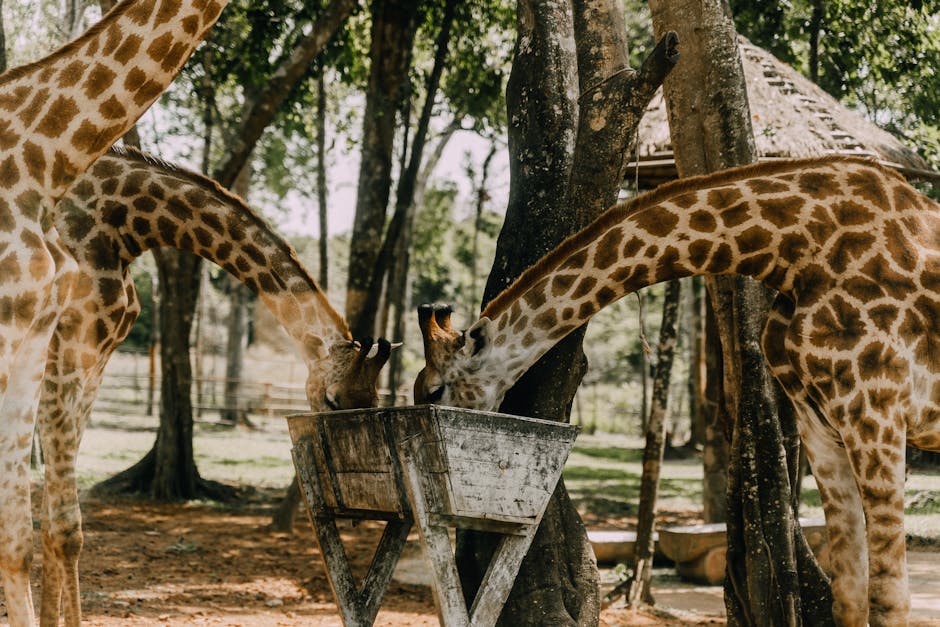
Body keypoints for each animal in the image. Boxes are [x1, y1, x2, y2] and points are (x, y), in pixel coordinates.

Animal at [30, 145, 392, 626]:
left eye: (372, 400)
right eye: (332, 399)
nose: (355, 515)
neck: (124, 222)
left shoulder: (93, 361)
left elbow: (49, 515)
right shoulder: (61, 351)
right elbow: (58, 523)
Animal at [414, 155, 940, 627]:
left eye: (433, 391)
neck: (790, 253)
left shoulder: (876, 411)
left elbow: (890, 600)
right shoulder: (821, 422)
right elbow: (849, 595)